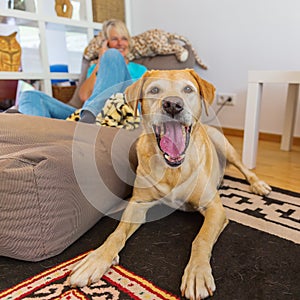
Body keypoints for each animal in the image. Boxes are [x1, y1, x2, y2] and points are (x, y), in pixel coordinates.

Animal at [69, 69, 270, 298]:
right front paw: (97, 259)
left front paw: (197, 273)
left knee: (244, 168)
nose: (173, 104)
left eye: (188, 89)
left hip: (224, 144)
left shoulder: (213, 207)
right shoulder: (138, 204)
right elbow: (117, 233)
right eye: (154, 90)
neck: (173, 168)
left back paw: (258, 185)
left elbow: (201, 239)